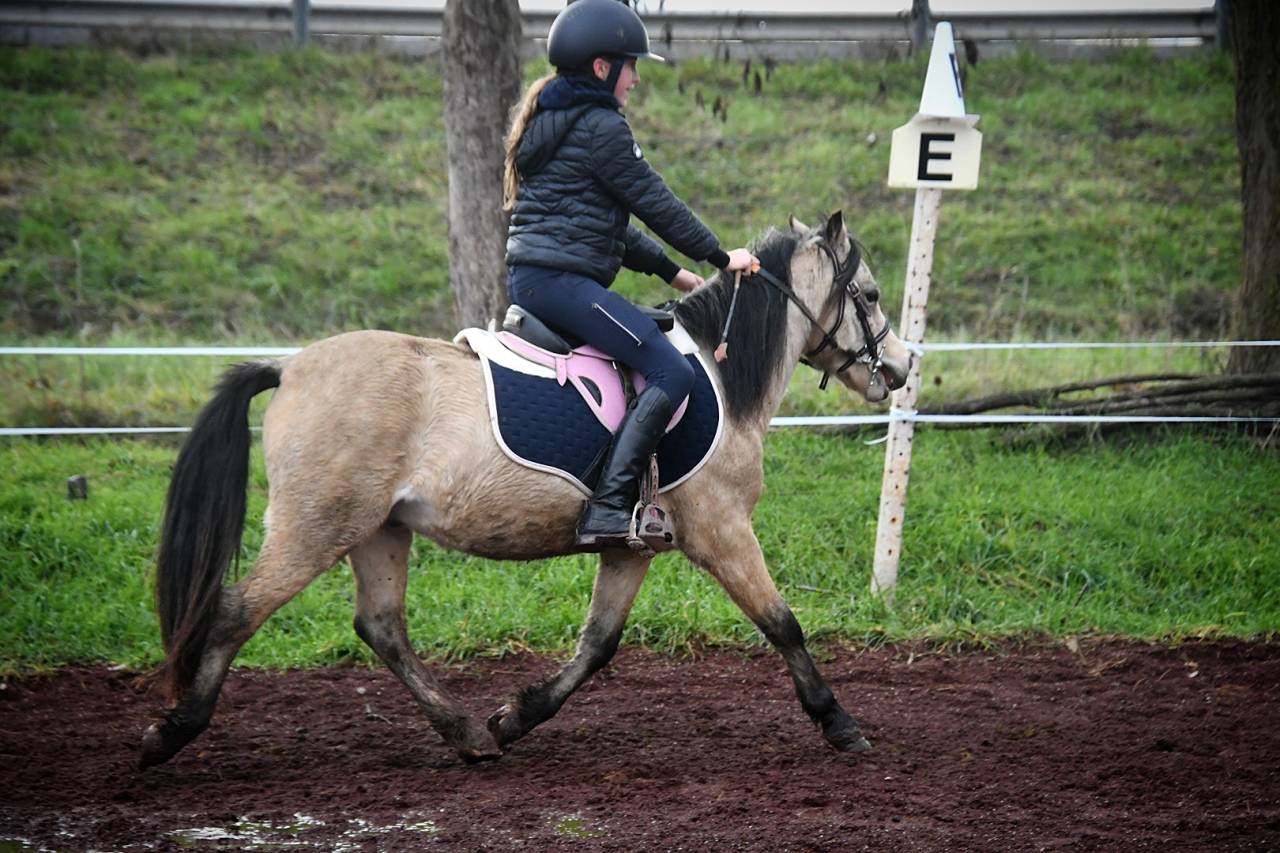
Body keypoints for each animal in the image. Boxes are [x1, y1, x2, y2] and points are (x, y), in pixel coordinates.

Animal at [139, 211, 913, 768]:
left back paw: (465, 734)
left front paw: (515, 717)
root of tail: (290, 366)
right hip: (316, 527)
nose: (903, 368)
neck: (720, 378)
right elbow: (783, 623)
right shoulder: (721, 530)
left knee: (381, 627)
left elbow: (598, 644)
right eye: (871, 295)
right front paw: (839, 722)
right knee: (236, 611)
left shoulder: (631, 545)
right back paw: (172, 730)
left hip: (378, 529)